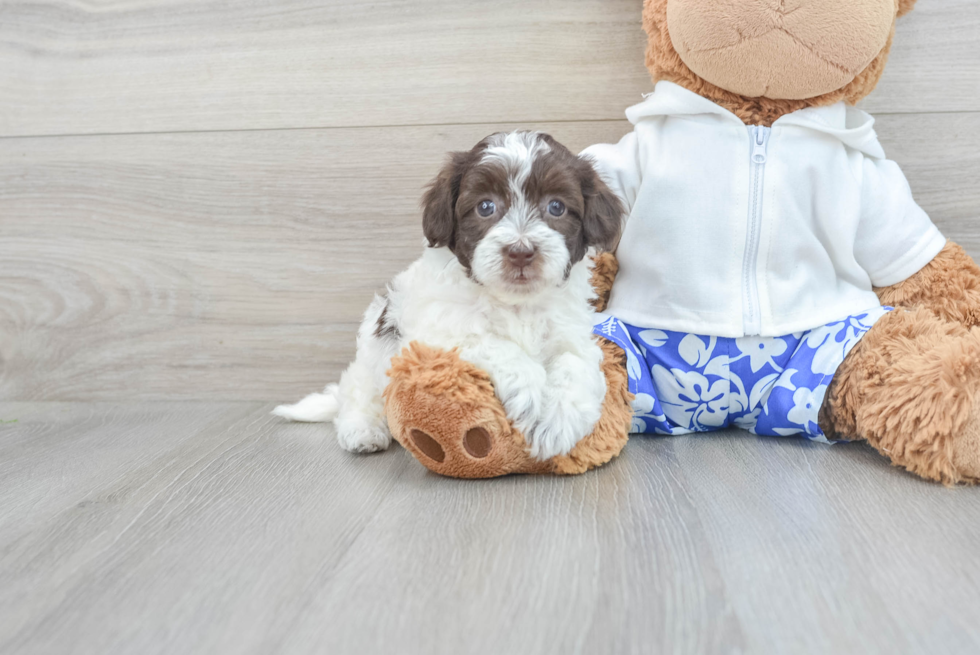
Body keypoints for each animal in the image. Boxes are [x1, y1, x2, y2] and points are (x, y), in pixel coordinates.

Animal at [274, 132, 628, 462]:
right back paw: (362, 429)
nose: (520, 252)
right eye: (485, 207)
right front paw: (533, 395)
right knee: (358, 390)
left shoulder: (572, 333)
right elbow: (500, 347)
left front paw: (557, 420)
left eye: (556, 207)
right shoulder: (440, 330)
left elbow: (574, 363)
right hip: (375, 349)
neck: (515, 302)